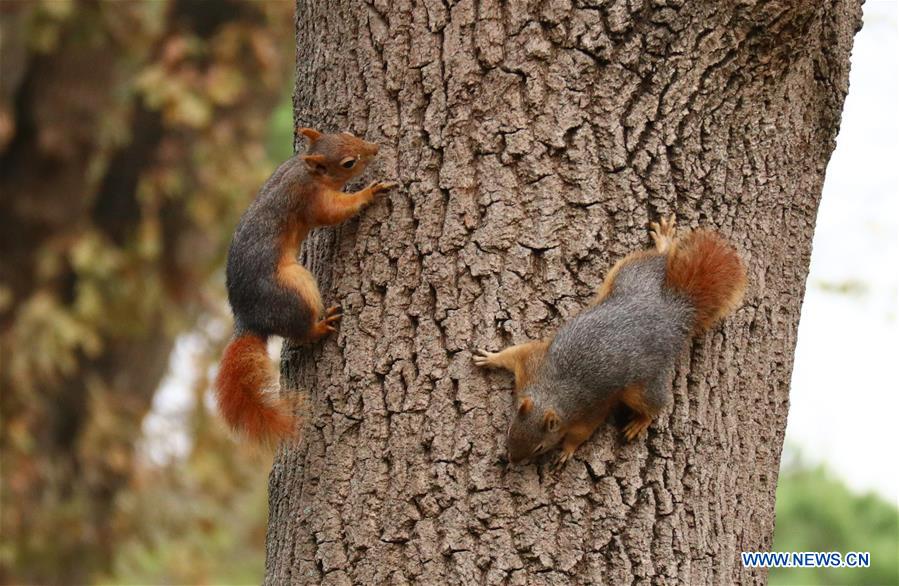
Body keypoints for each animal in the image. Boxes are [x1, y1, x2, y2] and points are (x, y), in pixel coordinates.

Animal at [215, 127, 397, 444]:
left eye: (347, 132)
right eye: (348, 163)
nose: (375, 149)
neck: (306, 171)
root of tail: (249, 319)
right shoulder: (312, 201)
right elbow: (335, 211)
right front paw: (369, 193)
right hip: (296, 287)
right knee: (302, 331)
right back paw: (322, 325)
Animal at [474, 216, 746, 468]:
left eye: (540, 447)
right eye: (511, 429)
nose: (512, 460)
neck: (551, 392)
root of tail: (673, 312)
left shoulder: (590, 409)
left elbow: (582, 433)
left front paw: (567, 451)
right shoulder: (531, 364)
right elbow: (514, 353)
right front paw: (489, 357)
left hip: (645, 384)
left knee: (656, 404)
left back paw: (640, 422)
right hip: (632, 272)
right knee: (658, 257)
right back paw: (664, 242)